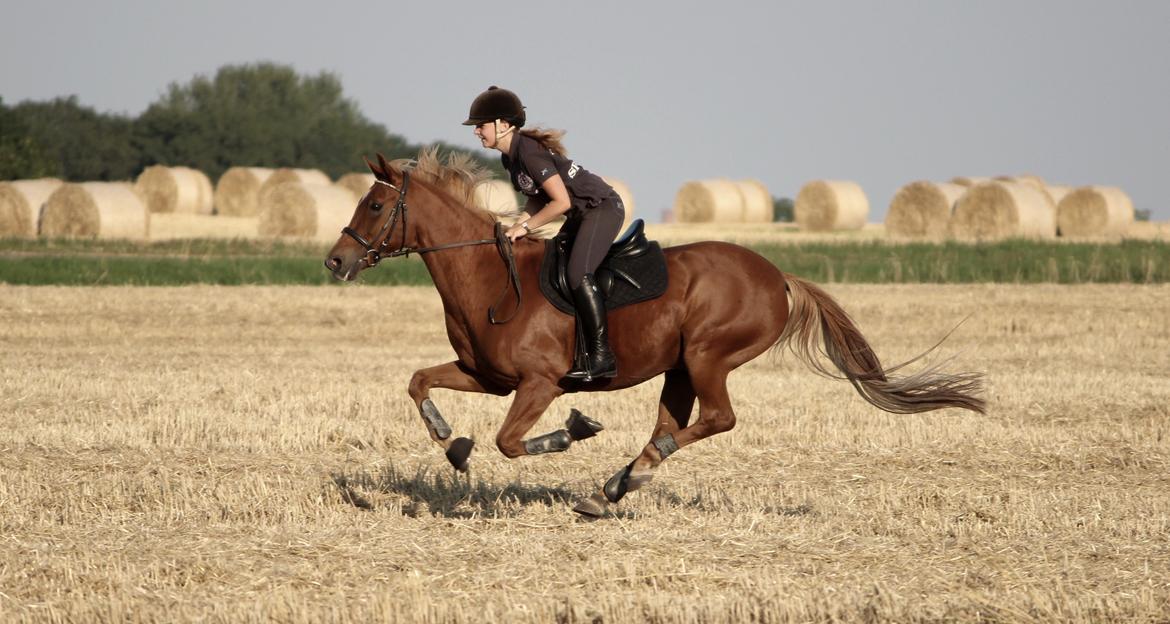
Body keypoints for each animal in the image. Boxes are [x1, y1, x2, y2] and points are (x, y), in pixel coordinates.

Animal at [325, 149, 982, 515]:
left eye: (375, 207)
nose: (335, 261)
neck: (488, 277)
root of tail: (778, 276)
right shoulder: (485, 377)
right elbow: (419, 382)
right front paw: (450, 441)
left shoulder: (540, 384)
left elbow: (511, 441)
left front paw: (572, 432)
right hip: (681, 366)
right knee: (673, 423)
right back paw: (613, 487)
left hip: (708, 354)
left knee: (715, 419)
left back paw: (628, 474)